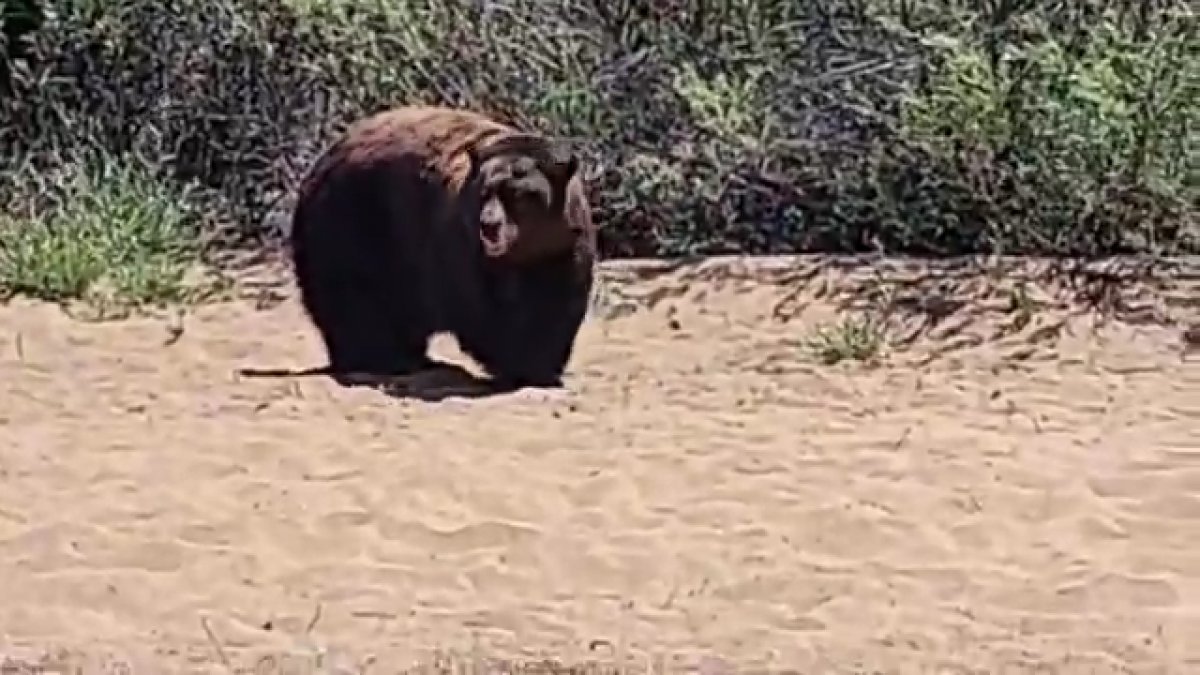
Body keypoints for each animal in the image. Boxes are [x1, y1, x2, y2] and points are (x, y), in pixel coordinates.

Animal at [285, 104, 595, 389]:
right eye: (485, 191)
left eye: (517, 194)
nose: (489, 225)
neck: (521, 254)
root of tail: (323, 159)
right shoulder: (462, 248)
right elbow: (486, 312)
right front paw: (518, 363)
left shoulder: (562, 248)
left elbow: (557, 305)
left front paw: (543, 367)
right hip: (353, 223)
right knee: (354, 298)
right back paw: (382, 358)